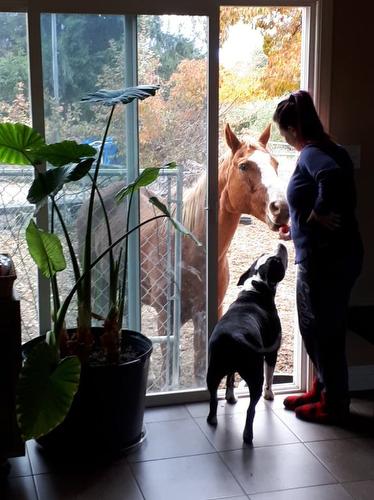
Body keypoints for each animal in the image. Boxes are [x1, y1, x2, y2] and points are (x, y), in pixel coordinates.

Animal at [77, 124, 290, 386]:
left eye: (275, 163)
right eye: (243, 166)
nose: (281, 208)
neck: (191, 251)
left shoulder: (208, 313)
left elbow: (200, 369)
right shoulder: (166, 318)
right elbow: (169, 368)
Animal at [206, 244, 288, 444]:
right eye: (277, 261)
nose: (281, 244)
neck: (257, 288)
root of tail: (232, 338)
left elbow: (230, 379)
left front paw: (230, 397)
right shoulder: (272, 352)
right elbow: (270, 375)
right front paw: (269, 395)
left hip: (213, 370)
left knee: (213, 397)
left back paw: (212, 419)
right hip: (255, 376)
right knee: (251, 409)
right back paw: (248, 435)